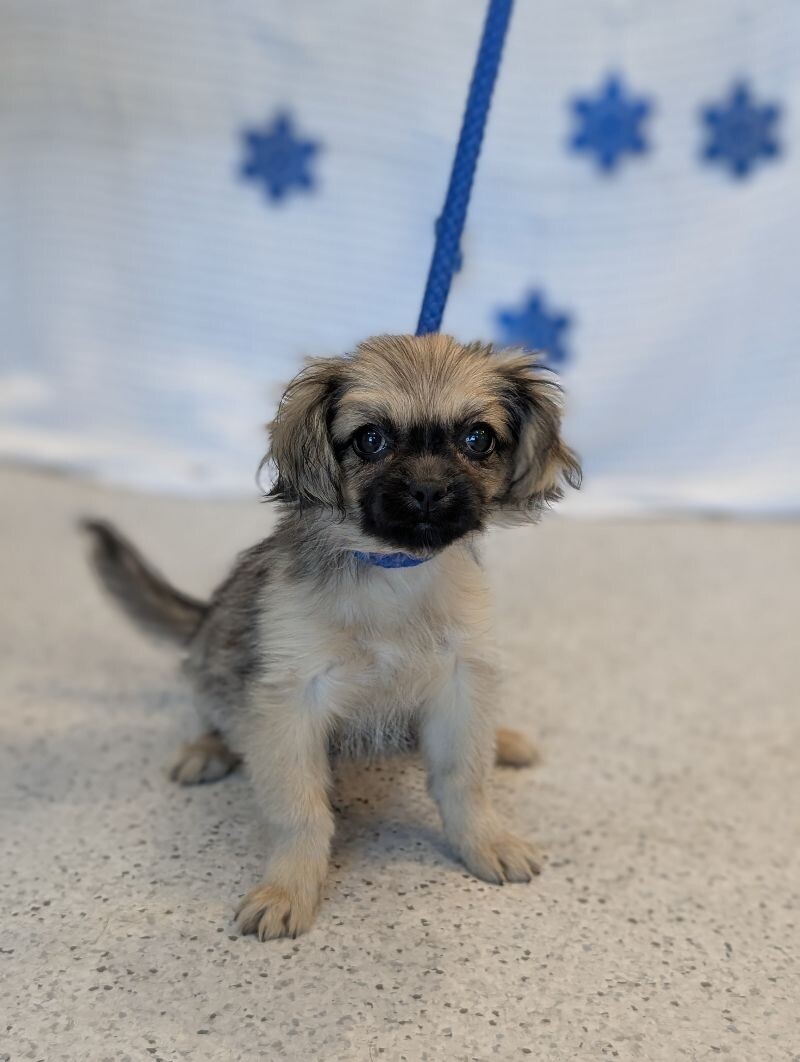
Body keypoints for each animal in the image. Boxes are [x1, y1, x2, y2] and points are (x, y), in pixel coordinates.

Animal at [84, 331, 582, 938]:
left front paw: (487, 841)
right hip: (214, 654)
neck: (392, 573)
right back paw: (207, 749)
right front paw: (289, 887)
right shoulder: (290, 701)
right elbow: (300, 811)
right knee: (214, 709)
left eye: (477, 437)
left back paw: (504, 739)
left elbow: (465, 778)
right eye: (370, 439)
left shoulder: (461, 679)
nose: (429, 492)